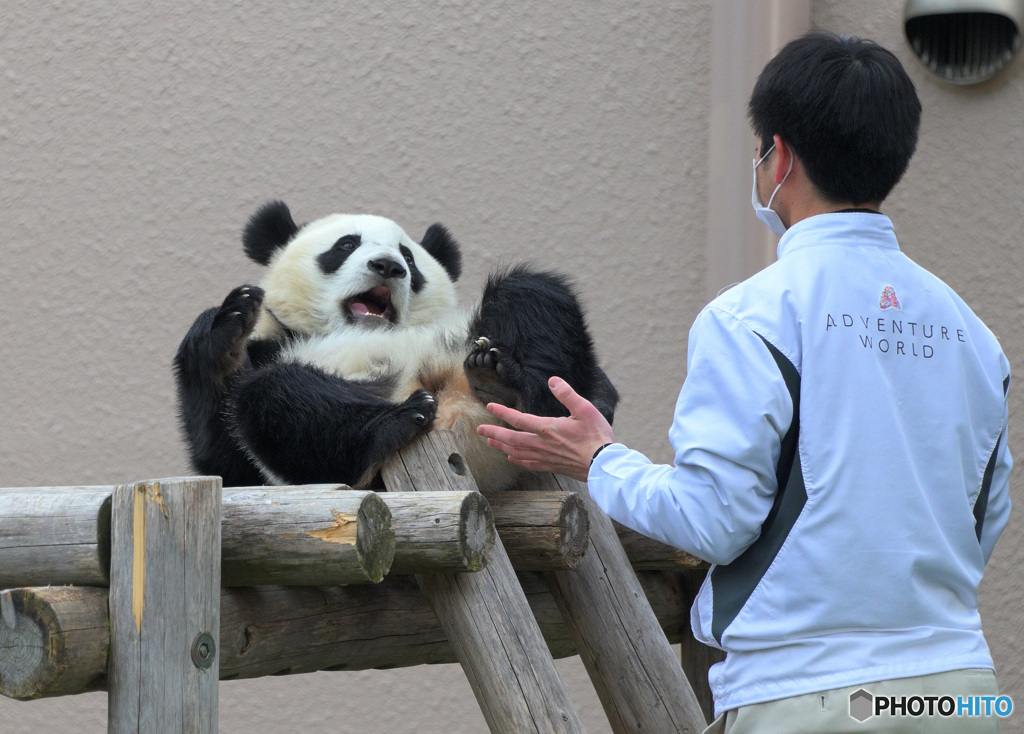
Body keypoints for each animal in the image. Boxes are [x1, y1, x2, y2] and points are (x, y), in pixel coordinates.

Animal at [174, 198, 614, 493]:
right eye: (346, 245)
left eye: (409, 257)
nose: (387, 266)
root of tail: (456, 413)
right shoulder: (275, 342)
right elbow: (228, 462)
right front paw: (228, 328)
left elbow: (600, 388)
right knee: (275, 397)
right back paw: (395, 421)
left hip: (466, 343)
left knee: (533, 292)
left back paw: (515, 391)